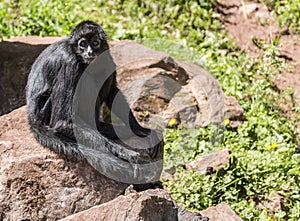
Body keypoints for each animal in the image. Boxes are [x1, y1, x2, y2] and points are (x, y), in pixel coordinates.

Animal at [26, 20, 163, 181]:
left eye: (95, 43)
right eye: (83, 44)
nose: (90, 52)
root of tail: (33, 120)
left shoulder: (105, 53)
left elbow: (112, 90)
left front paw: (141, 129)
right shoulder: (69, 61)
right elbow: (63, 123)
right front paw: (124, 153)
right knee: (85, 80)